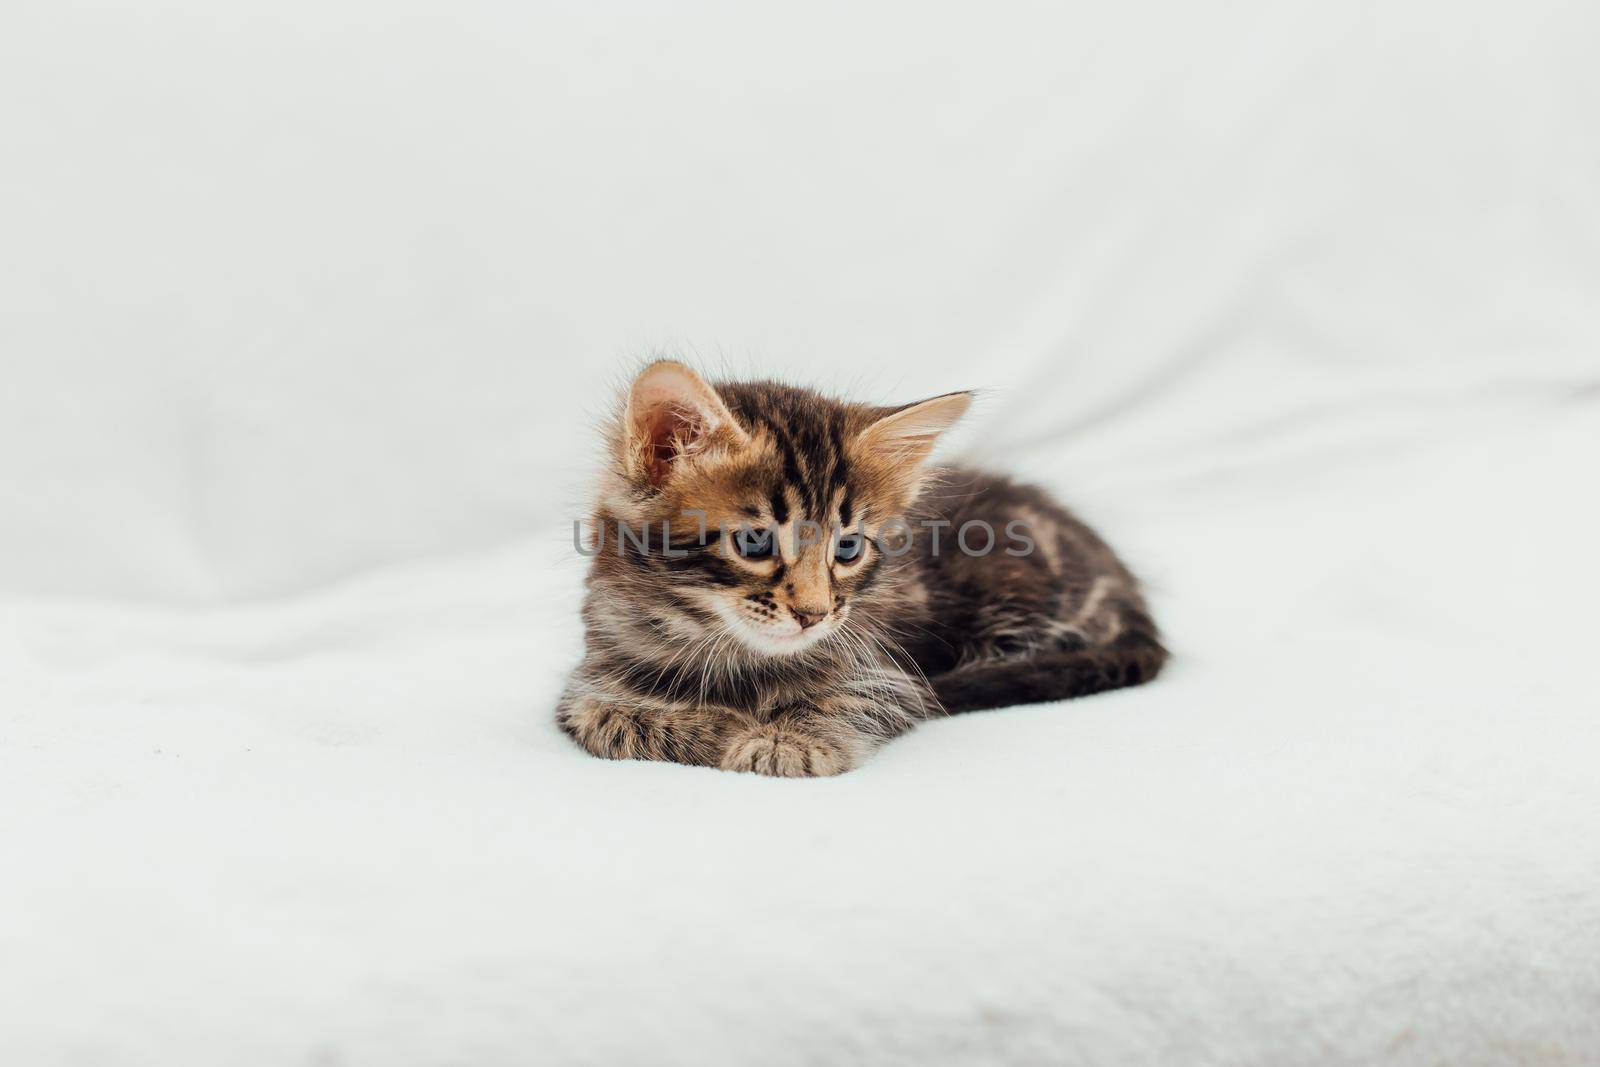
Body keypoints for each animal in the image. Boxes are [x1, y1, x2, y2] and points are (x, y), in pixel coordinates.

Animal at [556, 361, 1171, 777]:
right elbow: (610, 720)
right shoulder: (586, 683)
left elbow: (851, 703)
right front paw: (721, 725)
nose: (814, 614)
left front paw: (783, 741)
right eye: (754, 542)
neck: (734, 656)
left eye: (848, 549)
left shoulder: (890, 674)